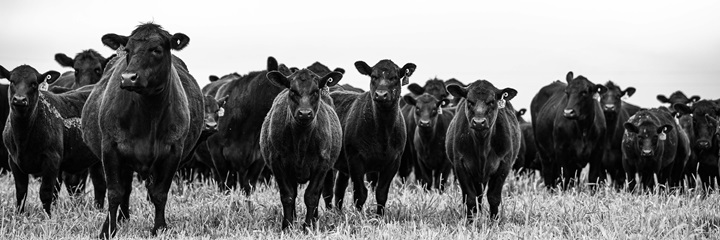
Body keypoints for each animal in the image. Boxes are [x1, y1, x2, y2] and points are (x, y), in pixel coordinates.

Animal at [0, 63, 105, 216]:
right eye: (12, 81)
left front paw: (47, 216)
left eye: (34, 83)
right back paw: (99, 210)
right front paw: (19, 215)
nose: (19, 99)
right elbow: (21, 192)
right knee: (99, 184)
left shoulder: (52, 160)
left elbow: (46, 192)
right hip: (95, 160)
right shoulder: (13, 161)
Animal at [82, 23, 205, 237]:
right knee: (124, 189)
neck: (149, 112)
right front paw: (108, 230)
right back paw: (121, 219)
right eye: (127, 50)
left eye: (157, 50)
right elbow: (114, 192)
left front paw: (160, 228)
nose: (128, 78)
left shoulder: (173, 152)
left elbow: (159, 193)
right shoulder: (110, 148)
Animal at [260, 68, 344, 230]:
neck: (301, 140)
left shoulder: (322, 165)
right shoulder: (277, 163)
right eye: (292, 91)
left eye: (315, 91)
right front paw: (287, 226)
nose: (305, 113)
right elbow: (288, 196)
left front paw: (308, 226)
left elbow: (312, 196)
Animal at [330, 59, 414, 215]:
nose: (381, 95)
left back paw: (338, 212)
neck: (382, 132)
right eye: (373, 76)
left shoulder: (394, 161)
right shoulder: (355, 159)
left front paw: (379, 216)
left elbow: (381, 193)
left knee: (339, 188)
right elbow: (360, 193)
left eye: (394, 77)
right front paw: (358, 216)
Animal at [444, 79, 516, 220]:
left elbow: (494, 197)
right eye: (469, 101)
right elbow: (470, 198)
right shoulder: (460, 166)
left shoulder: (504, 165)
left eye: (492, 101)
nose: (478, 122)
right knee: (477, 196)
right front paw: (470, 221)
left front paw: (494, 221)